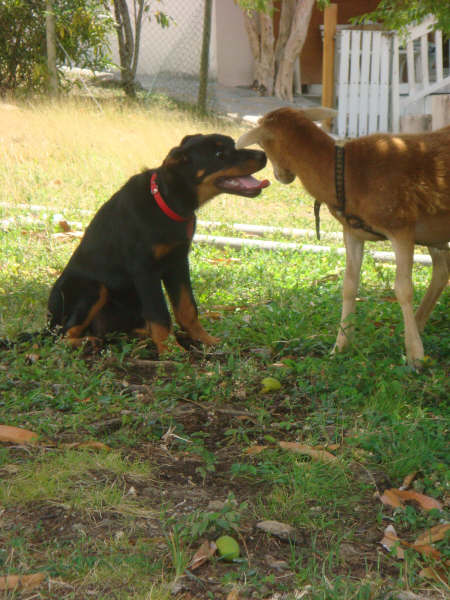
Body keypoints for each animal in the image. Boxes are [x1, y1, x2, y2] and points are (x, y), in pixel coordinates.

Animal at [47, 134, 268, 352]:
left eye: (233, 144)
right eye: (219, 155)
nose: (264, 155)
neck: (166, 202)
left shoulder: (178, 262)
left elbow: (187, 307)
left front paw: (204, 339)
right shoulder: (145, 270)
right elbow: (160, 314)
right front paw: (172, 351)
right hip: (93, 289)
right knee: (62, 335)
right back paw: (89, 342)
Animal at [237, 109, 448, 370]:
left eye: (263, 143)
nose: (280, 176)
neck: (346, 171)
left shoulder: (401, 229)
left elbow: (403, 289)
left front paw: (415, 355)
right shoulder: (352, 233)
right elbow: (349, 285)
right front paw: (340, 346)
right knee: (441, 273)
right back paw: (417, 324)